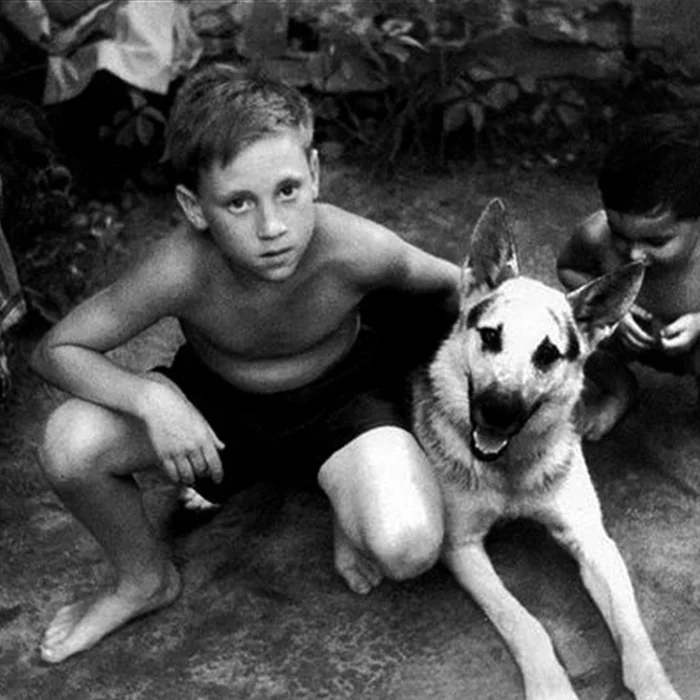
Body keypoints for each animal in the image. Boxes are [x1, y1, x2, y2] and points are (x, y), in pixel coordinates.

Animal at [410, 198, 684, 700]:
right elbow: (526, 624)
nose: (496, 412)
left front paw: (656, 686)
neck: (512, 467)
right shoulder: (461, 546)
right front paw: (550, 685)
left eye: (548, 354)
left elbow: (634, 632)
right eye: (491, 336)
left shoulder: (592, 539)